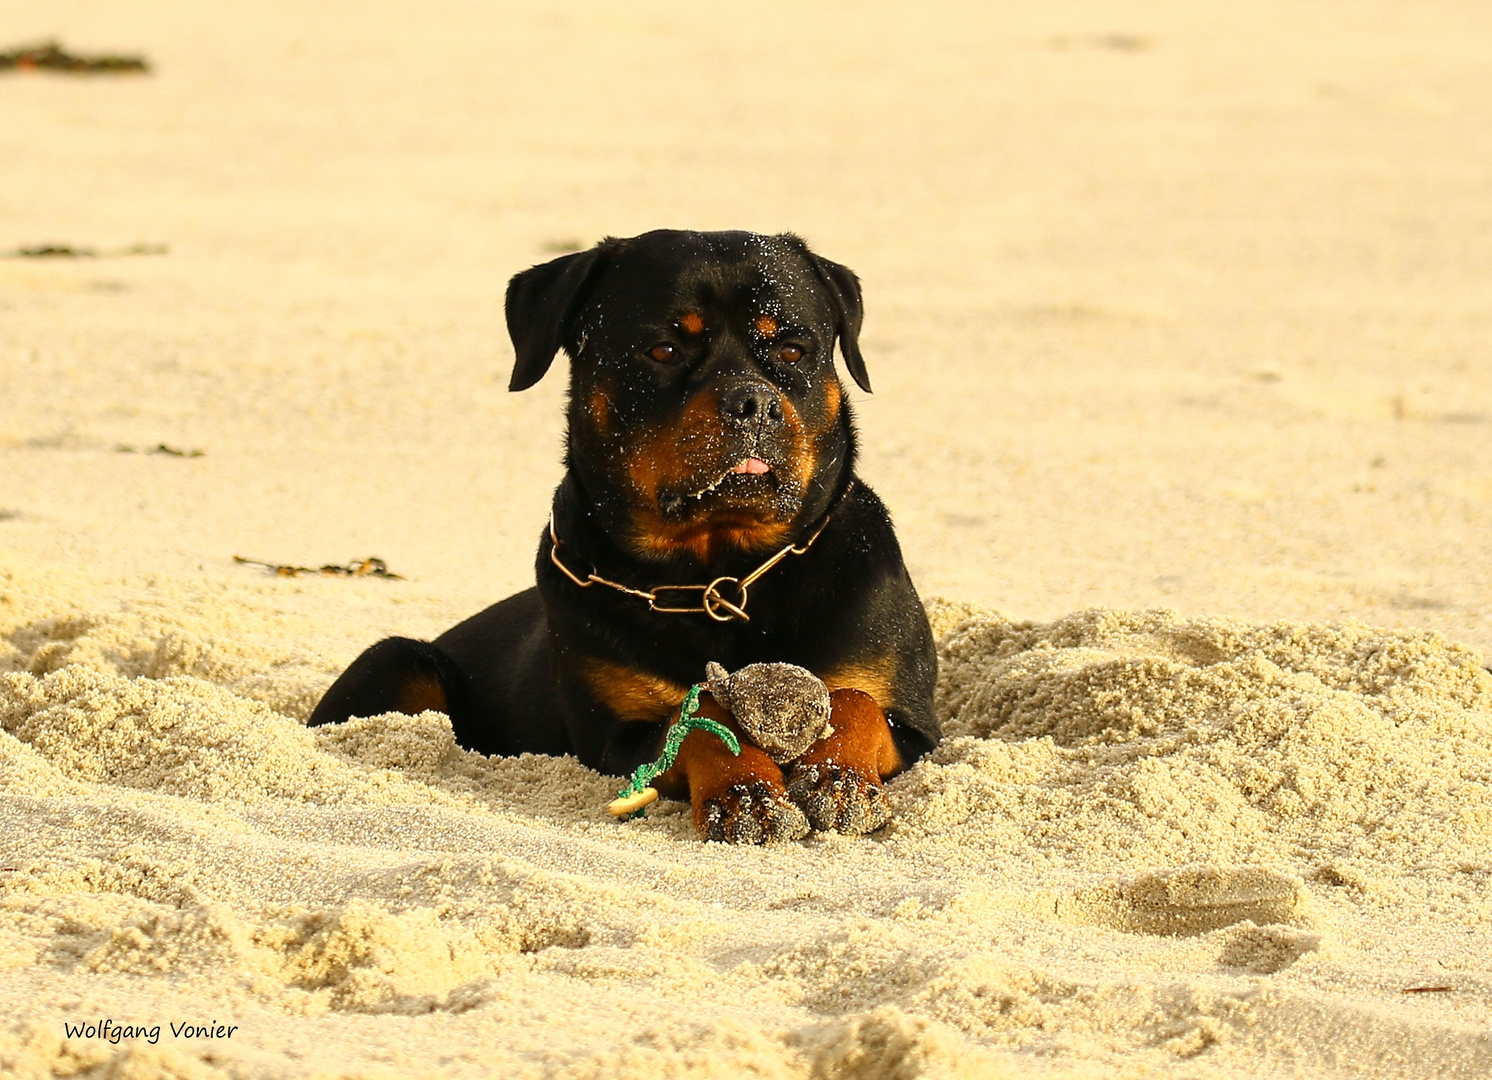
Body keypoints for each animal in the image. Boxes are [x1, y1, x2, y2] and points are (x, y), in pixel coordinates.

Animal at [308, 229, 936, 841]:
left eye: (791, 350)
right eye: (663, 350)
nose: (752, 400)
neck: (718, 578)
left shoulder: (915, 727)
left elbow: (856, 702)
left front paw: (838, 782)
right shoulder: (614, 739)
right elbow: (699, 717)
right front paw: (746, 797)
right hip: (395, 660)